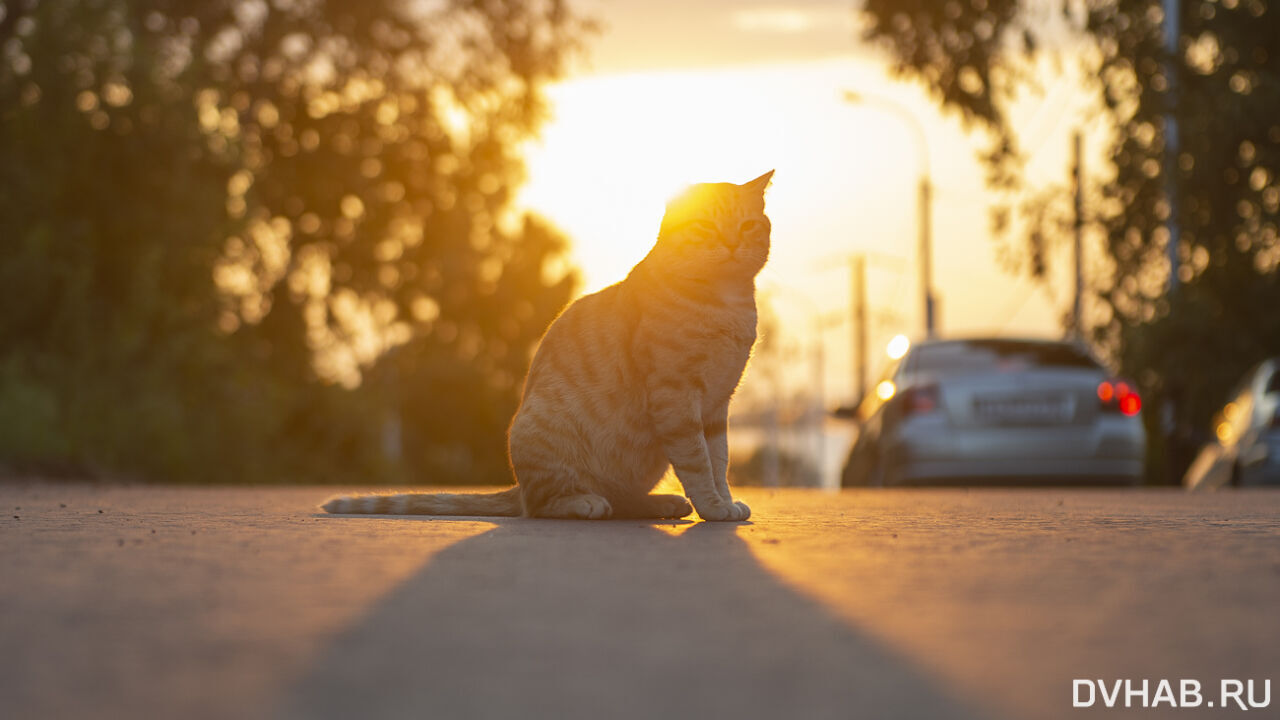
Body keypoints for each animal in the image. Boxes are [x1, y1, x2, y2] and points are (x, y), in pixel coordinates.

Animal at [325, 170, 773, 517]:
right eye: (706, 227)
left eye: (748, 226)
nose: (732, 244)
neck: (726, 304)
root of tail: (517, 486)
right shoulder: (677, 398)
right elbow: (698, 463)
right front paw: (712, 507)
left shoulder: (717, 405)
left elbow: (719, 461)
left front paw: (725, 503)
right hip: (545, 440)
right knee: (545, 505)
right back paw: (586, 503)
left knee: (621, 500)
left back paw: (662, 504)